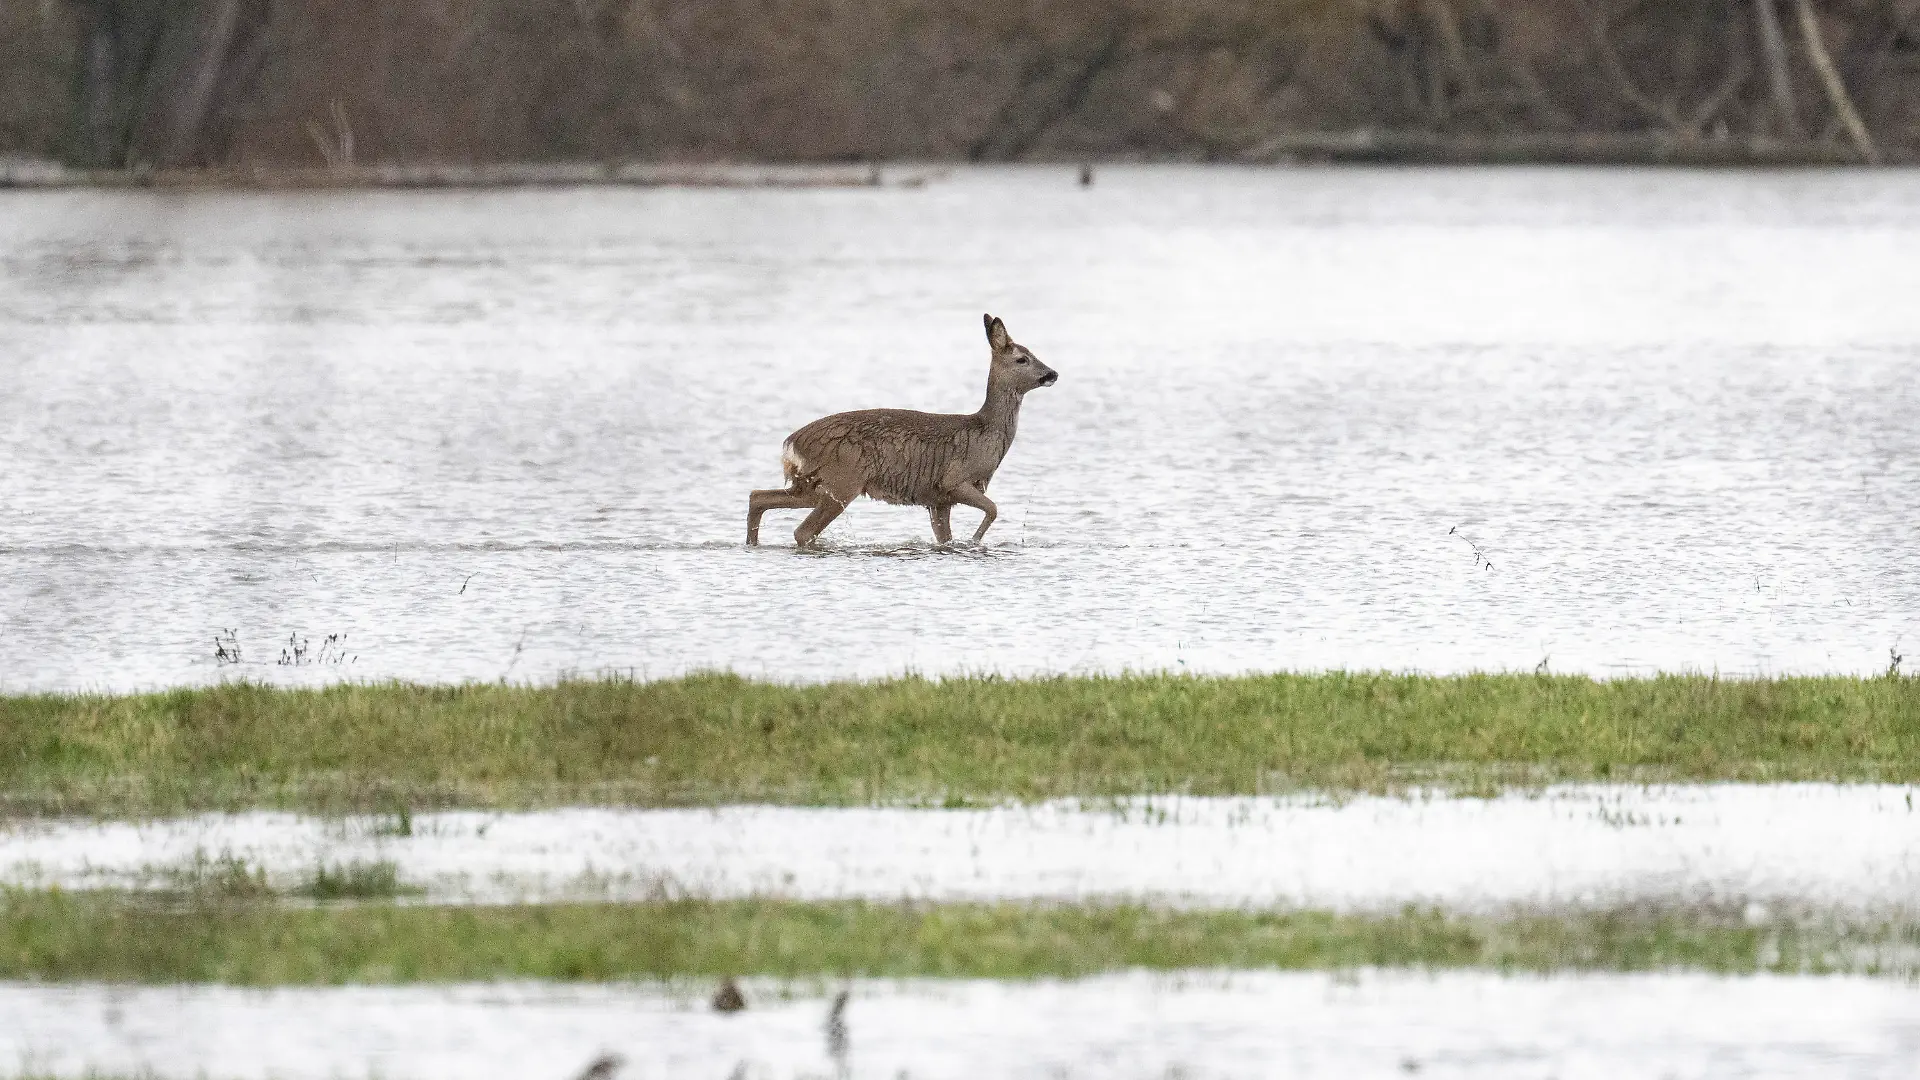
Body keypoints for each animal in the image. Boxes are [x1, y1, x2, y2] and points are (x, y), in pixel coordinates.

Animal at [747, 314, 1058, 548]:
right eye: (1022, 358)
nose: (1053, 373)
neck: (986, 431)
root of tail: (792, 443)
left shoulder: (938, 500)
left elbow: (945, 538)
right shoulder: (954, 480)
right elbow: (993, 509)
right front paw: (974, 541)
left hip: (815, 484)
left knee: (757, 496)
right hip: (842, 481)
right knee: (802, 530)